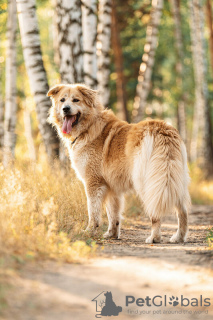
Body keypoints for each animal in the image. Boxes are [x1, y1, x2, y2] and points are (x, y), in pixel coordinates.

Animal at [47, 84, 191, 244]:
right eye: (62, 100)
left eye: (76, 100)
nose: (65, 109)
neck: (90, 126)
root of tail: (162, 129)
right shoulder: (112, 187)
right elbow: (113, 213)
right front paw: (112, 234)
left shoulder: (93, 182)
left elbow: (93, 211)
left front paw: (89, 231)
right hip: (173, 179)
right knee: (183, 211)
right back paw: (179, 237)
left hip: (148, 182)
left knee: (156, 212)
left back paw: (154, 237)